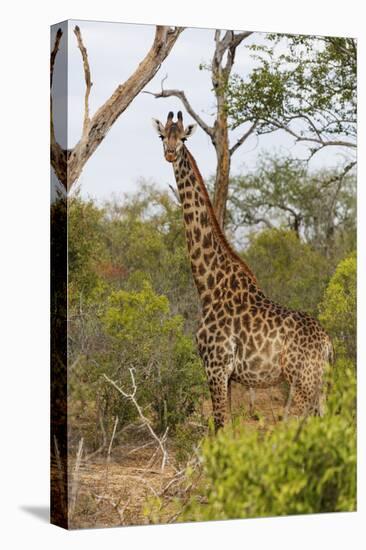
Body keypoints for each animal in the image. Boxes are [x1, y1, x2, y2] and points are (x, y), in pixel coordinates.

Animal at [152, 111, 334, 432]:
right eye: (163, 136)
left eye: (183, 137)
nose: (171, 153)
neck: (209, 286)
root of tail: (327, 344)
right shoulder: (228, 376)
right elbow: (225, 427)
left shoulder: (215, 366)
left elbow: (220, 428)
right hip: (318, 385)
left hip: (303, 382)